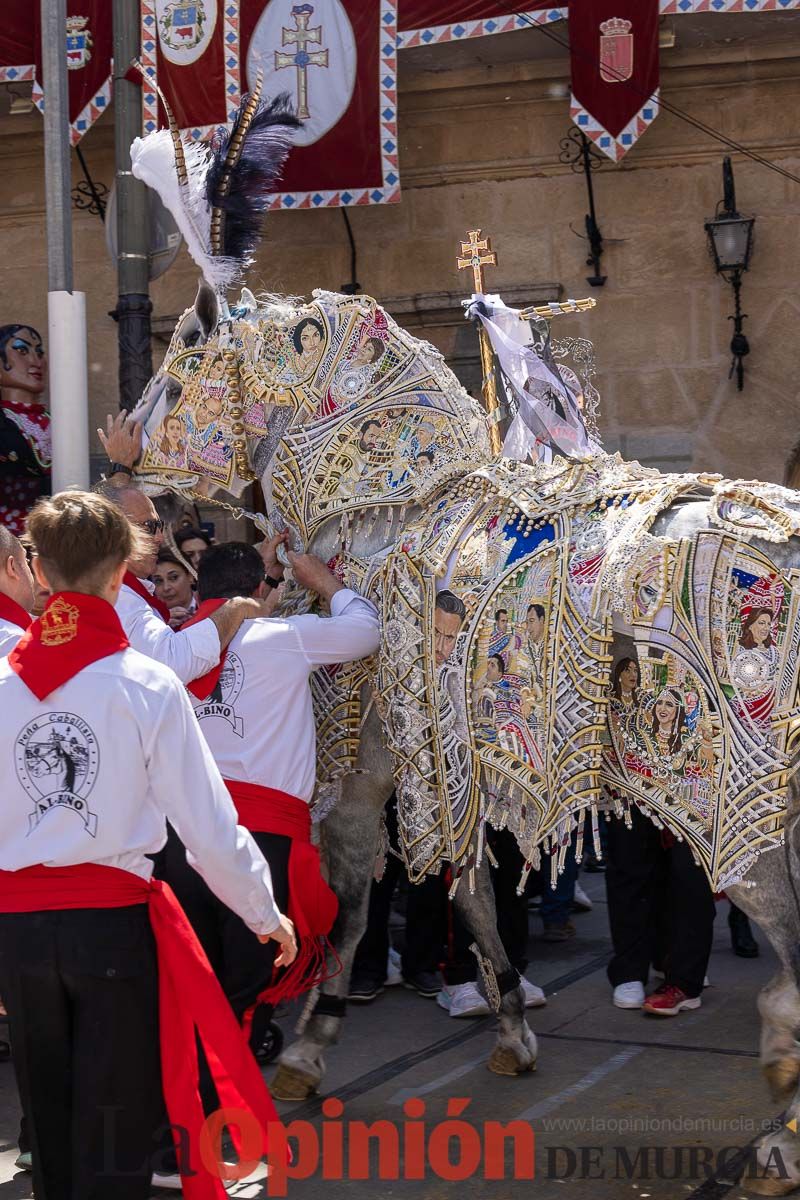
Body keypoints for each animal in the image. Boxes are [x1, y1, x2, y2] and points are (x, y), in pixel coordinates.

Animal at [131, 82, 800, 1190]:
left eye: (183, 355)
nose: (121, 448)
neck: (389, 505)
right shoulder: (454, 758)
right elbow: (474, 892)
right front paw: (509, 1029)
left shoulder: (366, 753)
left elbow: (357, 893)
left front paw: (308, 1047)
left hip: (731, 801)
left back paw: (781, 1127)